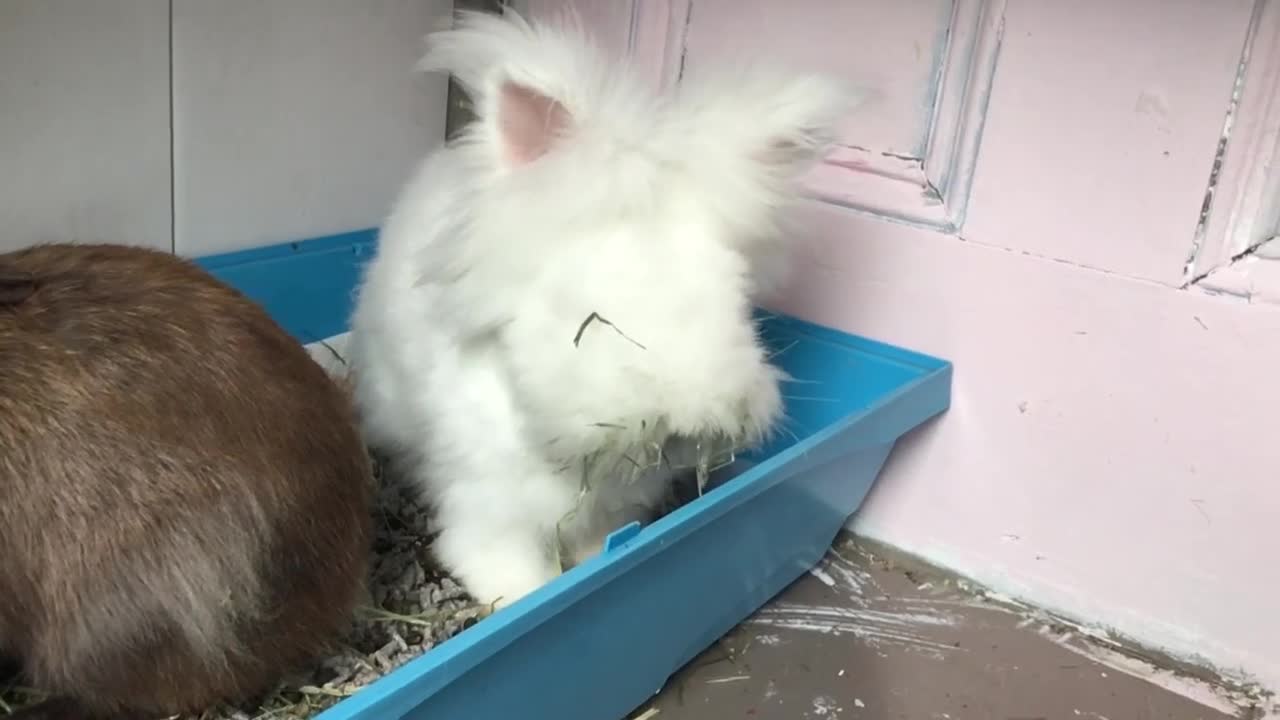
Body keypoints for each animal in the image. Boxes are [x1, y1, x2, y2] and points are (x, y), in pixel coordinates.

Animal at [345, 8, 855, 609]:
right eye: (591, 317)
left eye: (736, 301)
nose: (688, 422)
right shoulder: (491, 509)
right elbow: (511, 569)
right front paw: (521, 593)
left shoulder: (613, 511)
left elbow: (599, 549)